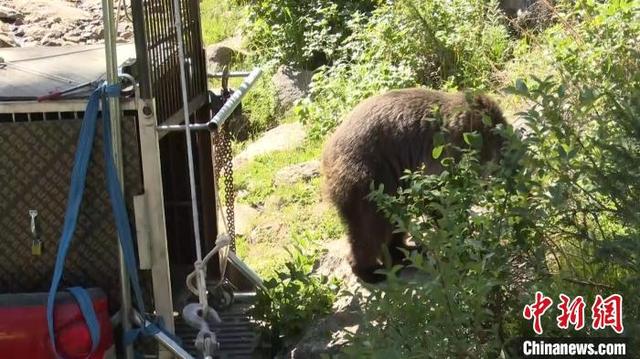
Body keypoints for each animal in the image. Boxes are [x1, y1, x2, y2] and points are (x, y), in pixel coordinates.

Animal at [322, 88, 508, 284]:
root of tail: (326, 156)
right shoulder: (439, 151)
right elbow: (438, 196)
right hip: (369, 178)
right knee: (371, 228)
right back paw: (370, 271)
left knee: (395, 220)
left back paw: (405, 252)